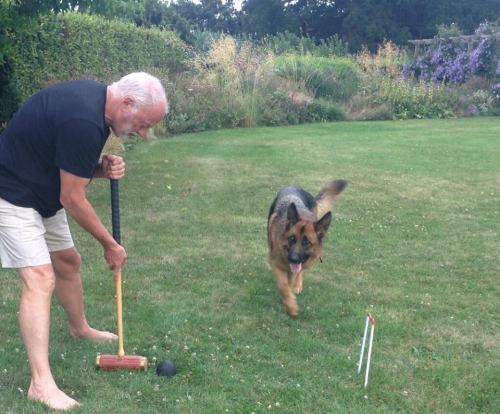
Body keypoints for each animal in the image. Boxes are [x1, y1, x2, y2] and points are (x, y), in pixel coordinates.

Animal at [268, 180, 346, 318]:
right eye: (292, 239)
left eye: (307, 242)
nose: (293, 259)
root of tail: (294, 186)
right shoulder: (275, 263)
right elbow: (283, 286)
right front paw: (291, 306)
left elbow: (291, 280)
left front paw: (291, 299)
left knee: (300, 271)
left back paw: (298, 285)